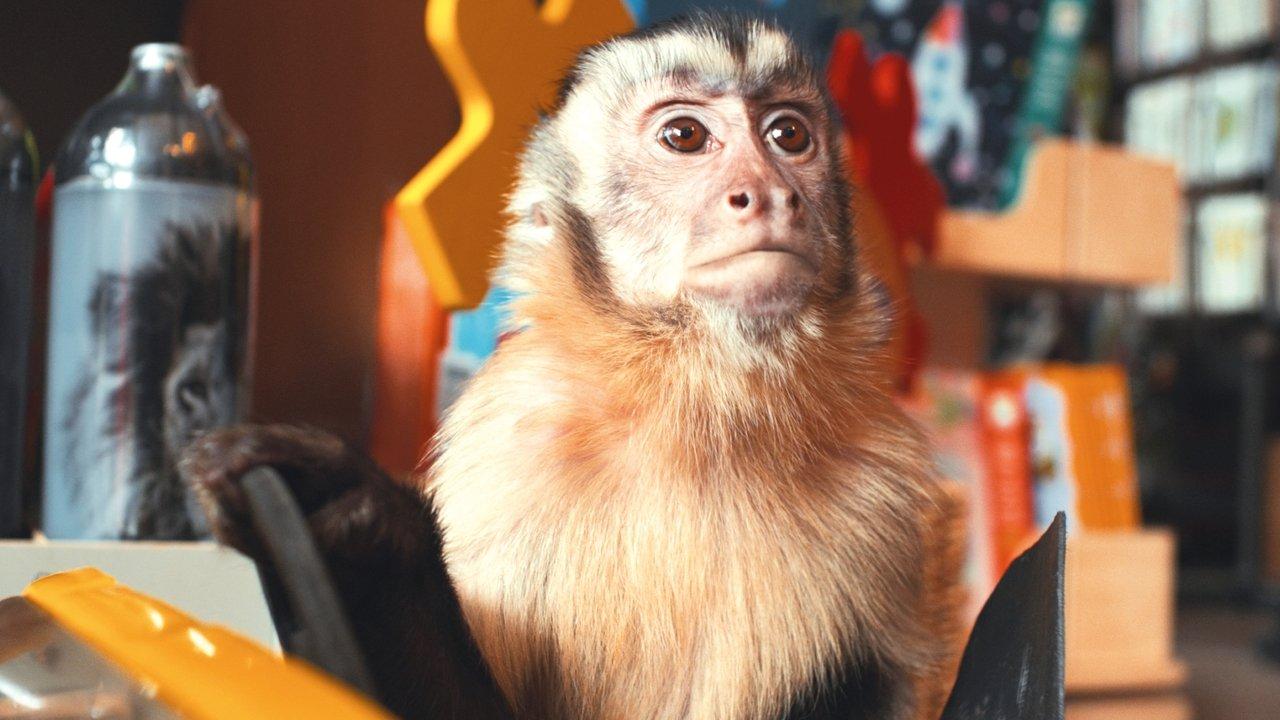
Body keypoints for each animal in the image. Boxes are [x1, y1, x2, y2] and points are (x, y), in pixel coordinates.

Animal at [182, 13, 960, 720]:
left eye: (789, 136)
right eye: (685, 137)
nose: (770, 194)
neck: (701, 403)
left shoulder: (887, 492)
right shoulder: (514, 435)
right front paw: (365, 545)